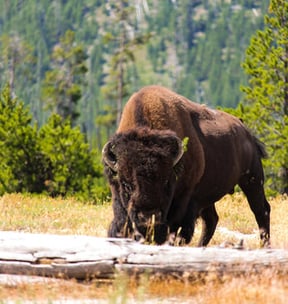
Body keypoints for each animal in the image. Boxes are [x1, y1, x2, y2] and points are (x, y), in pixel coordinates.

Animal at [102, 85, 272, 247]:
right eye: (126, 184)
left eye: (166, 182)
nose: (148, 218)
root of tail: (246, 131)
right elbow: (121, 223)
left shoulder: (185, 199)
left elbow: (177, 228)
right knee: (212, 220)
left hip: (252, 179)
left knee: (261, 210)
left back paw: (265, 245)